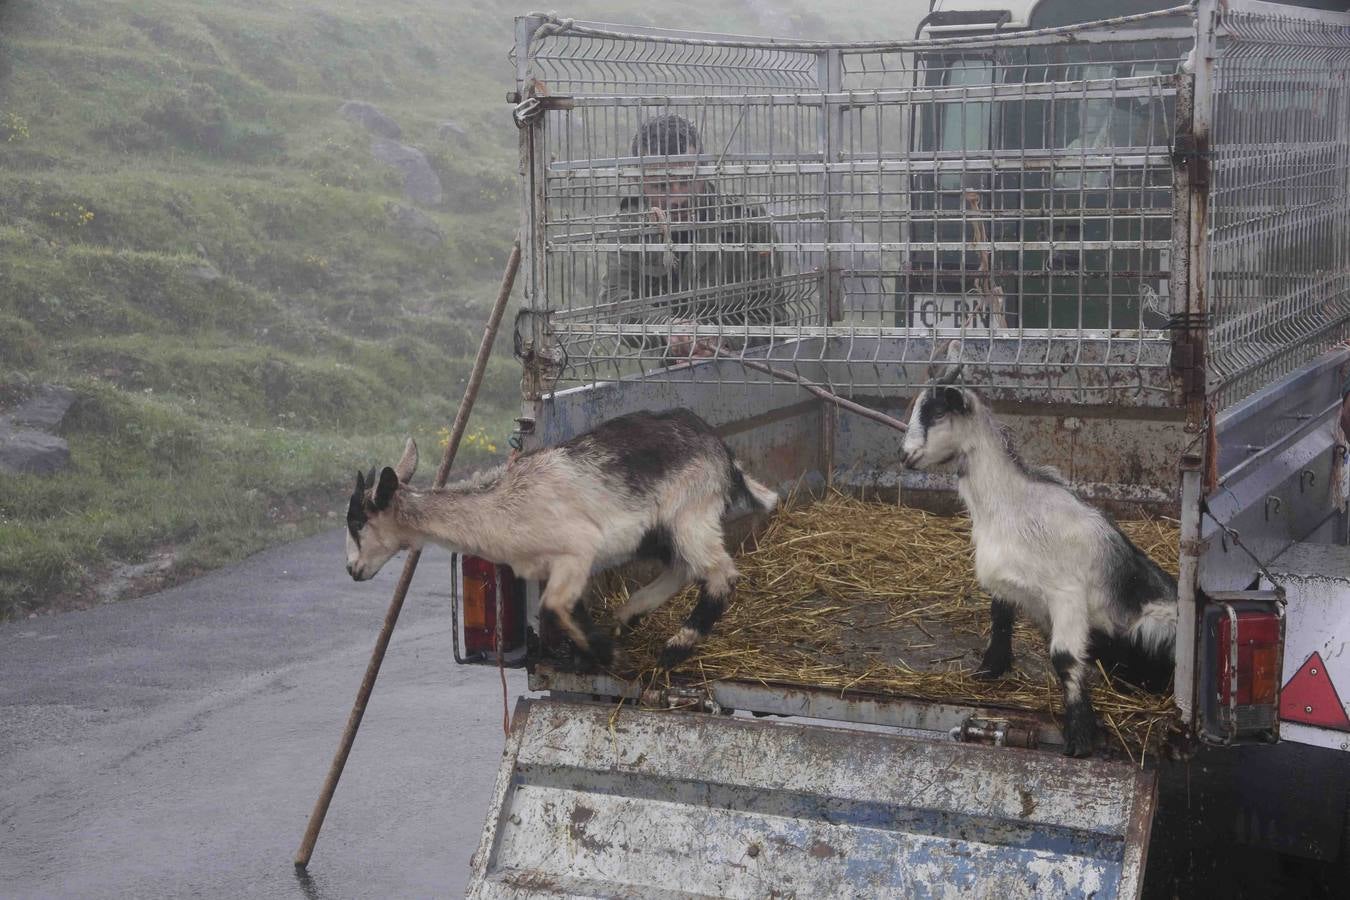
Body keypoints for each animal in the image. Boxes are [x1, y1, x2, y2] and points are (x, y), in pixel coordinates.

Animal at [342, 407, 777, 669]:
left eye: (357, 522)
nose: (351, 569)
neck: (500, 506)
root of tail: (723, 451)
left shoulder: (577, 548)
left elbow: (552, 606)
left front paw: (605, 654)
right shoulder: (551, 566)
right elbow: (565, 606)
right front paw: (594, 648)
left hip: (691, 511)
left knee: (719, 573)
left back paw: (675, 647)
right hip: (661, 530)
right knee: (682, 568)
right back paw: (628, 615)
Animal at [901, 383, 1177, 755]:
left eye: (938, 412)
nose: (904, 455)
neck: (1011, 506)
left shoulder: (1066, 594)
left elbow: (1064, 657)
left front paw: (1080, 738)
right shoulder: (1006, 583)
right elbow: (1001, 620)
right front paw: (990, 669)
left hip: (1153, 623)